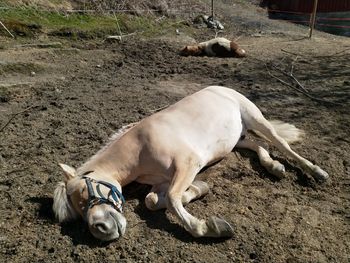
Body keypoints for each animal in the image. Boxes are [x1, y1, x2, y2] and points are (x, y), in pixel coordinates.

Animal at [52, 86, 328, 241]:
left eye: (85, 188)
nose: (101, 230)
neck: (140, 148)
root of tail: (223, 88)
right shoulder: (163, 181)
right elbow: (152, 201)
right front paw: (197, 191)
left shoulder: (187, 165)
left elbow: (174, 199)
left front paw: (208, 227)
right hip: (235, 140)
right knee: (259, 146)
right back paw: (273, 167)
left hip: (256, 119)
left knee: (281, 144)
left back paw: (316, 172)